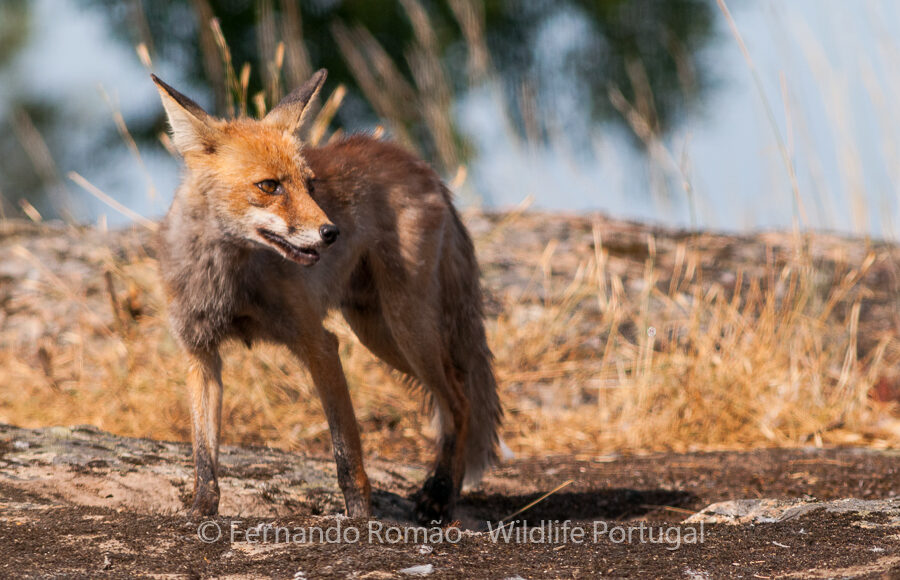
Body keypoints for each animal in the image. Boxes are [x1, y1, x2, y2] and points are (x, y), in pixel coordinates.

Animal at [151, 69, 501, 523]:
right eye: (269, 186)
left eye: (310, 184)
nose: (331, 232)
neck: (229, 278)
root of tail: (418, 164)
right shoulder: (200, 354)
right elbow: (203, 457)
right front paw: (201, 513)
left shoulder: (318, 344)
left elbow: (346, 452)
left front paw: (359, 518)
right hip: (377, 331)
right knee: (456, 396)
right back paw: (447, 492)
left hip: (406, 328)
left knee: (459, 398)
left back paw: (440, 494)